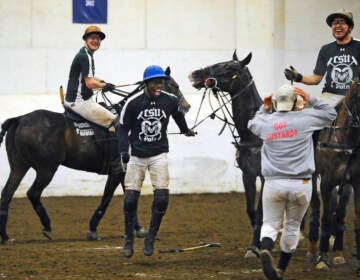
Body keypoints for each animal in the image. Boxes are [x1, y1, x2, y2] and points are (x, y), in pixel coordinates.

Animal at [0, 67, 191, 243]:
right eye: (173, 85)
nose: (187, 106)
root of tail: (20, 119)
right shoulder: (116, 169)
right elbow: (107, 199)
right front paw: (92, 230)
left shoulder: (126, 170)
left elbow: (129, 198)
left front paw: (138, 229)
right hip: (46, 169)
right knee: (33, 193)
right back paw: (47, 227)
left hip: (18, 167)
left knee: (6, 194)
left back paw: (6, 237)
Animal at [188, 50, 264, 256]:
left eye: (230, 68)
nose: (195, 74)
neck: (253, 133)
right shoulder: (248, 174)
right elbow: (251, 211)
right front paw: (254, 245)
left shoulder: (266, 177)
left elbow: (261, 211)